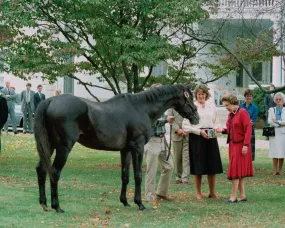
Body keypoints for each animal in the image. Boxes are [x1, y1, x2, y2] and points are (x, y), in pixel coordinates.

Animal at [34, 83, 197, 212]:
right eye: (190, 97)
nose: (196, 117)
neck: (140, 108)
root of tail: (50, 100)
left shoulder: (125, 150)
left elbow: (125, 175)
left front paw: (125, 201)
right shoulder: (137, 147)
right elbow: (138, 175)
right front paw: (140, 204)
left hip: (49, 146)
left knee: (41, 170)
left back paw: (44, 204)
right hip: (63, 147)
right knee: (54, 172)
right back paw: (57, 206)